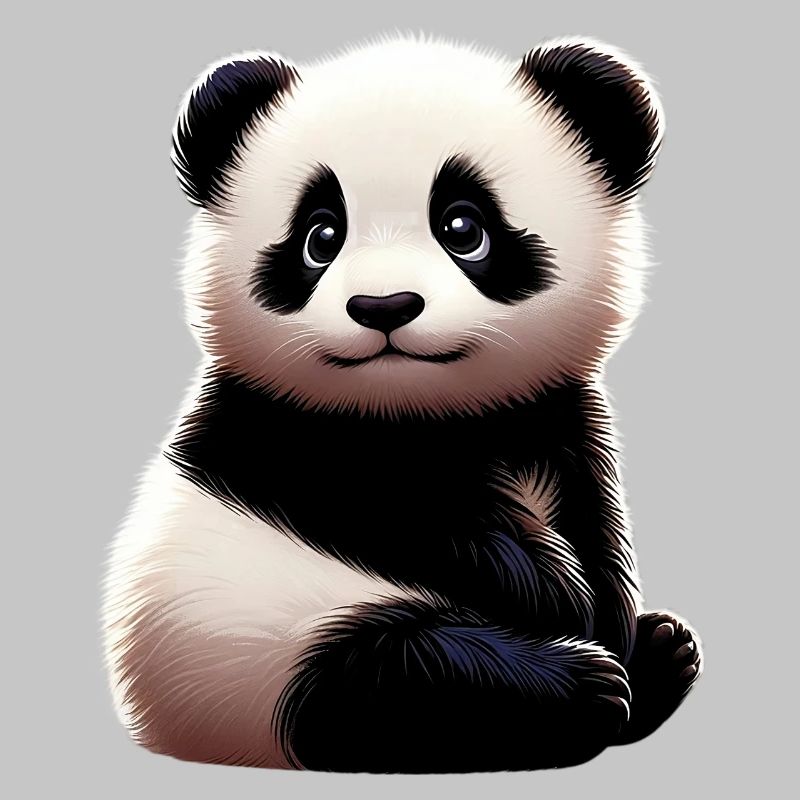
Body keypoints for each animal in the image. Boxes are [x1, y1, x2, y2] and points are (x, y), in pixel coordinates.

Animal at [102, 34, 703, 773]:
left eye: (463, 226)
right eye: (321, 236)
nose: (383, 306)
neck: (422, 412)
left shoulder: (559, 415)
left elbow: (596, 519)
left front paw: (609, 614)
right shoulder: (276, 429)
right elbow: (394, 512)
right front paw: (556, 593)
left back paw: (660, 654)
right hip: (249, 653)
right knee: (396, 680)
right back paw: (587, 685)